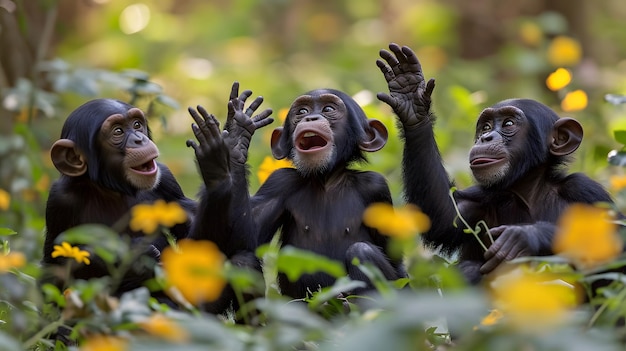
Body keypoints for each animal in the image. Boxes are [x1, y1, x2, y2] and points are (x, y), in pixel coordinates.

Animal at [42, 99, 194, 296]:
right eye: (118, 131)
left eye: (137, 125)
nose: (139, 139)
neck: (113, 190)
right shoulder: (59, 200)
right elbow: (53, 267)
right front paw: (132, 255)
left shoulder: (166, 178)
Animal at [188, 87, 404, 300]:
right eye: (301, 112)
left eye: (328, 109)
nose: (310, 118)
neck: (326, 179)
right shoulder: (280, 181)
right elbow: (240, 241)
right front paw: (235, 139)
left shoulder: (376, 188)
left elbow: (397, 263)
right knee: (243, 259)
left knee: (362, 251)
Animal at [376, 43, 616, 286]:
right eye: (486, 126)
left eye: (508, 123)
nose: (486, 137)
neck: (527, 190)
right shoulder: (480, 197)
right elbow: (445, 217)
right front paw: (410, 95)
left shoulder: (585, 190)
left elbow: (612, 246)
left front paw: (527, 236)